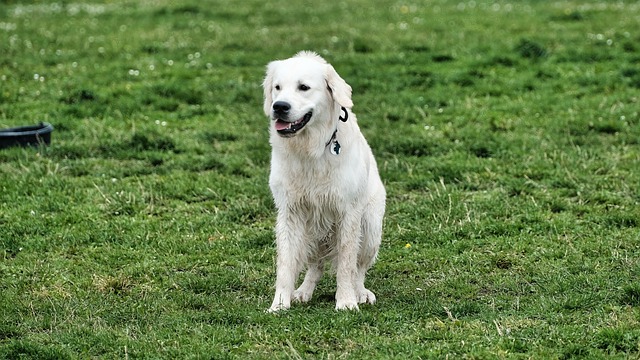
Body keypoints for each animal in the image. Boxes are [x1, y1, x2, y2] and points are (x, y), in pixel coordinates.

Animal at [262, 51, 384, 312]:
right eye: (277, 88)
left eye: (304, 87)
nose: (279, 106)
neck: (310, 149)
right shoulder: (289, 212)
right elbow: (285, 265)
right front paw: (279, 304)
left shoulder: (349, 212)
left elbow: (347, 264)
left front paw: (346, 301)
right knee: (315, 266)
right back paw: (302, 292)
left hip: (370, 227)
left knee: (358, 269)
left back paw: (360, 293)